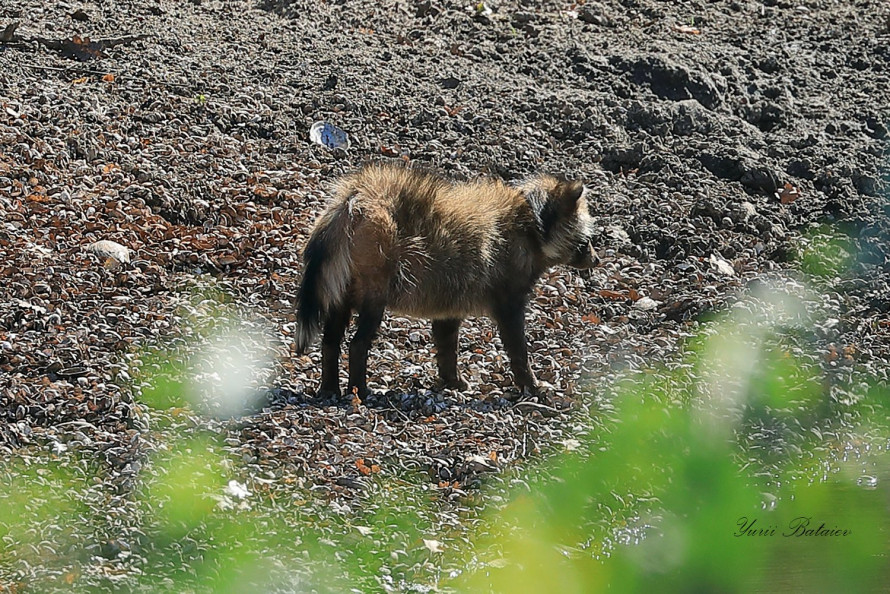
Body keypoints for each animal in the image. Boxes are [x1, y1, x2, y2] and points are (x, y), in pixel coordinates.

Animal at [294, 162, 596, 396]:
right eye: (587, 238)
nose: (596, 260)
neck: (533, 223)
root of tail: (353, 200)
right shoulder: (508, 293)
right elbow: (516, 343)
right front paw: (530, 383)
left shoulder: (450, 296)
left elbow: (446, 341)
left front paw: (451, 379)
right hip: (375, 282)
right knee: (358, 343)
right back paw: (359, 389)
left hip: (340, 286)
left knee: (330, 339)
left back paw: (330, 387)